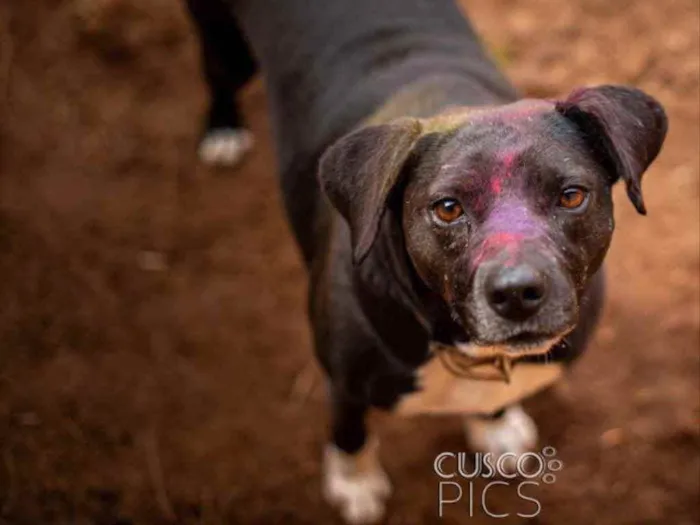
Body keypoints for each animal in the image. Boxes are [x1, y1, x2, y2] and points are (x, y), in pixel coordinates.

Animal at [186, 0, 668, 520]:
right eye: (448, 208)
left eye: (572, 196)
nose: (518, 294)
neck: (459, 345)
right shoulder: (344, 379)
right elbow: (349, 430)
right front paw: (354, 483)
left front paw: (494, 425)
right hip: (225, 44)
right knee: (217, 74)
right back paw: (223, 130)